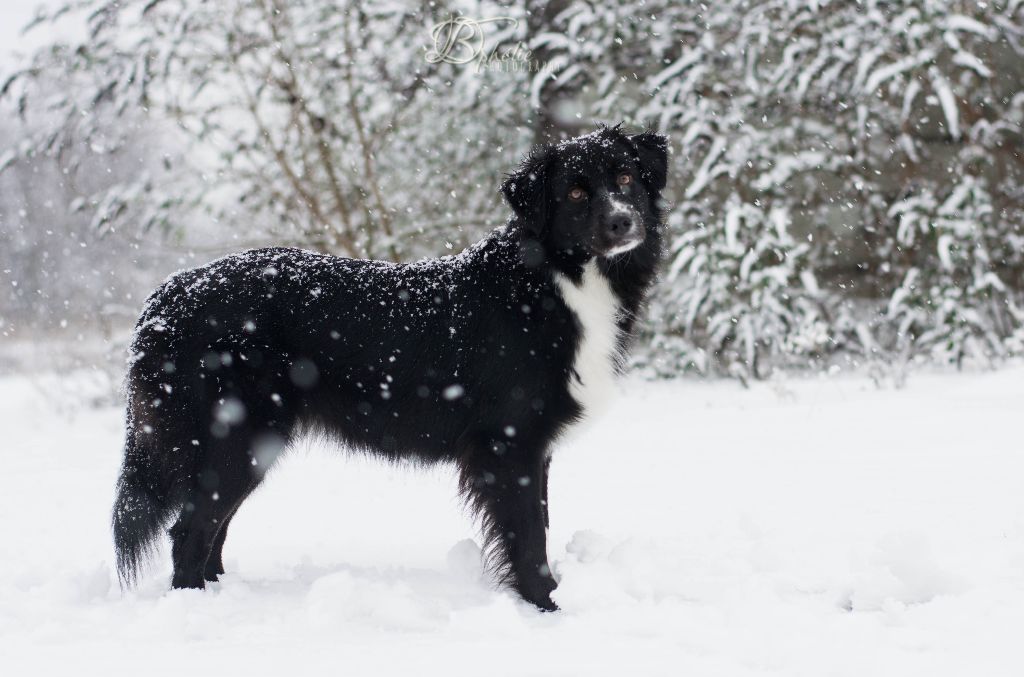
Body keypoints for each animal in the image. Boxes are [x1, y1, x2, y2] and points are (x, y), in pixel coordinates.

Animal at [114, 123, 671, 610]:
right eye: (575, 193)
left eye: (626, 178)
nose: (622, 221)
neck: (553, 279)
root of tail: (167, 295)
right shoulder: (509, 445)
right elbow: (529, 538)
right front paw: (546, 608)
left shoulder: (533, 449)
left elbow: (542, 524)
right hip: (236, 435)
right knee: (189, 531)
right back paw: (193, 606)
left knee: (212, 528)